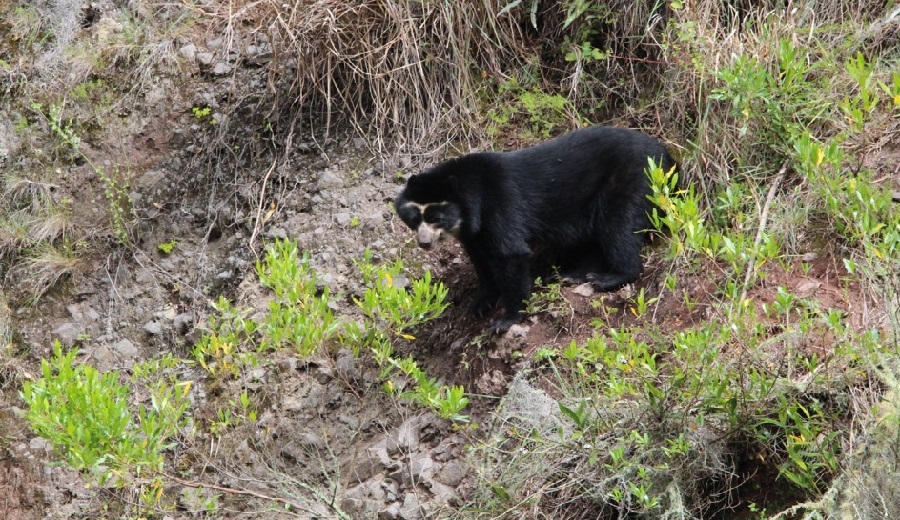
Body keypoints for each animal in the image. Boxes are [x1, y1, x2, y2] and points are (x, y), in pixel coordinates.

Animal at [394, 127, 676, 334]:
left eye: (436, 218)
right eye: (413, 218)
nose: (424, 243)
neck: (470, 206)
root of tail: (668, 156)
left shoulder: (500, 202)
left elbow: (510, 254)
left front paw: (505, 320)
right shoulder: (474, 232)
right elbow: (481, 260)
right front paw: (480, 302)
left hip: (635, 181)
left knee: (618, 229)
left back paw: (608, 277)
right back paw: (575, 275)